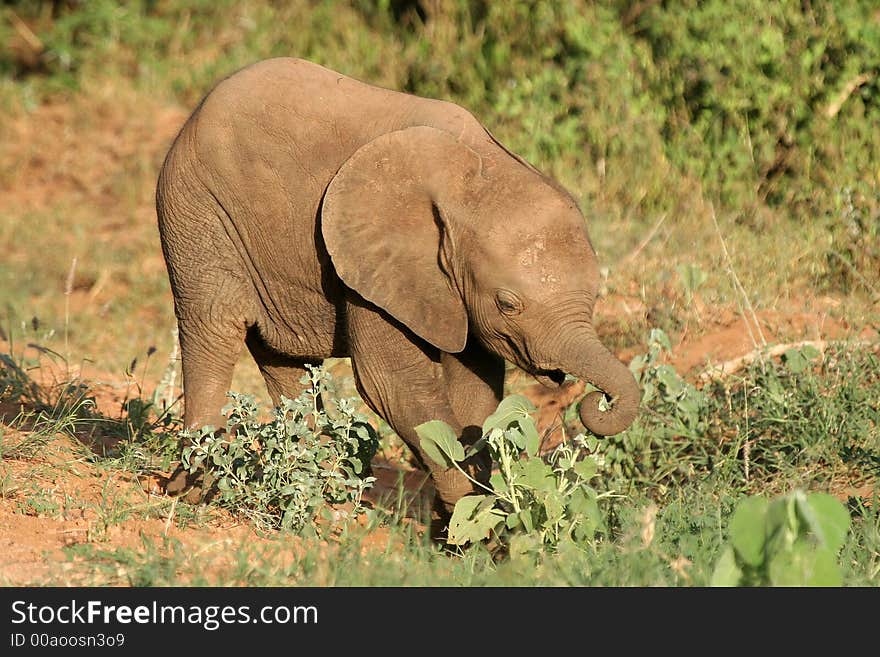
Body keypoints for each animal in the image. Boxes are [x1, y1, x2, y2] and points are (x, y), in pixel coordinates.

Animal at [158, 56, 640, 528]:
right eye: (508, 304)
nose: (597, 399)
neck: (477, 173)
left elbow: (477, 385)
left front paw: (463, 522)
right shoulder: (368, 261)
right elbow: (391, 383)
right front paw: (480, 526)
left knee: (284, 361)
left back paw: (316, 494)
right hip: (197, 209)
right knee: (212, 329)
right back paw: (194, 490)